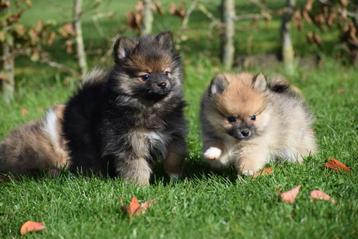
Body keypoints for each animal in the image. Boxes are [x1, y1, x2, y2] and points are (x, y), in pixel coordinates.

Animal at [1, 32, 187, 185]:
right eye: (145, 76)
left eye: (166, 72)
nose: (163, 84)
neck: (151, 107)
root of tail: (78, 95)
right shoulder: (129, 142)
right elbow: (136, 166)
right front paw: (141, 188)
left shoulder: (174, 134)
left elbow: (175, 156)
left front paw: (174, 177)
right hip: (84, 142)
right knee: (87, 160)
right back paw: (93, 177)